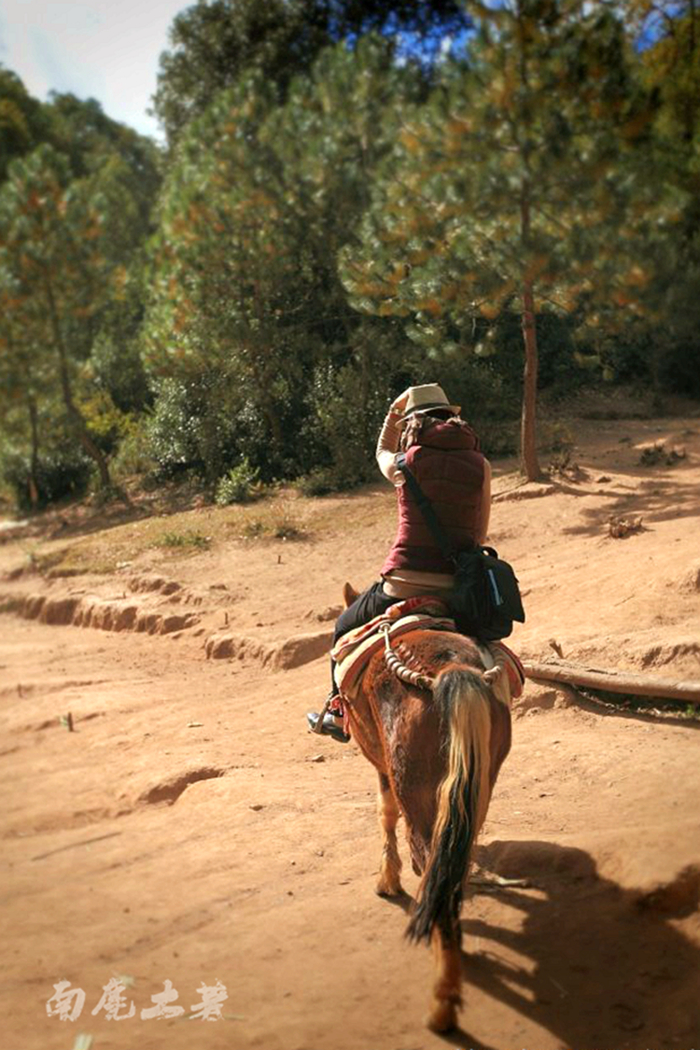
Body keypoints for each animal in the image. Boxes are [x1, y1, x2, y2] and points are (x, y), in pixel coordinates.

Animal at [342, 583, 512, 1033]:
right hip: (480, 779)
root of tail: (450, 670)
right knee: (453, 863)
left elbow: (384, 813)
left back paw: (443, 1002)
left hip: (415, 785)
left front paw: (387, 880)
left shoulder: (382, 767)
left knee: (429, 859)